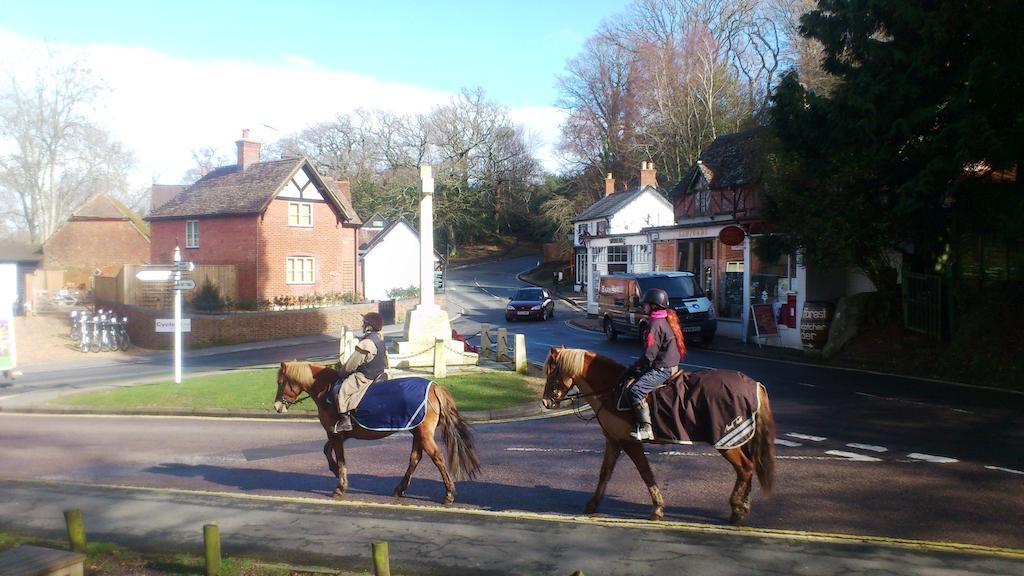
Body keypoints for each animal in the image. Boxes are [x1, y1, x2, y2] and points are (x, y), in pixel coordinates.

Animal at [272, 360, 479, 504]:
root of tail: (435, 387)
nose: (276, 407)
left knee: (437, 458)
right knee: (415, 458)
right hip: (417, 432)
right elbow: (326, 451)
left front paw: (340, 485)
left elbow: (340, 458)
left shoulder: (335, 434)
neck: (327, 389)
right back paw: (400, 488)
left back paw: (449, 493)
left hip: (424, 434)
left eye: (280, 382)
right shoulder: (338, 434)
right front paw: (335, 471)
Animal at [544, 344, 774, 524]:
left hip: (726, 439)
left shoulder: (629, 442)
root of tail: (754, 384)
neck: (612, 390)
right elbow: (605, 473)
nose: (546, 401)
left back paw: (737, 509)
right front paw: (592, 504)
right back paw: (743, 505)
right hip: (738, 439)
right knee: (748, 467)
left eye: (551, 371)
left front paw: (657, 508)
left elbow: (645, 473)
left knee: (745, 468)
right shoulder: (614, 441)